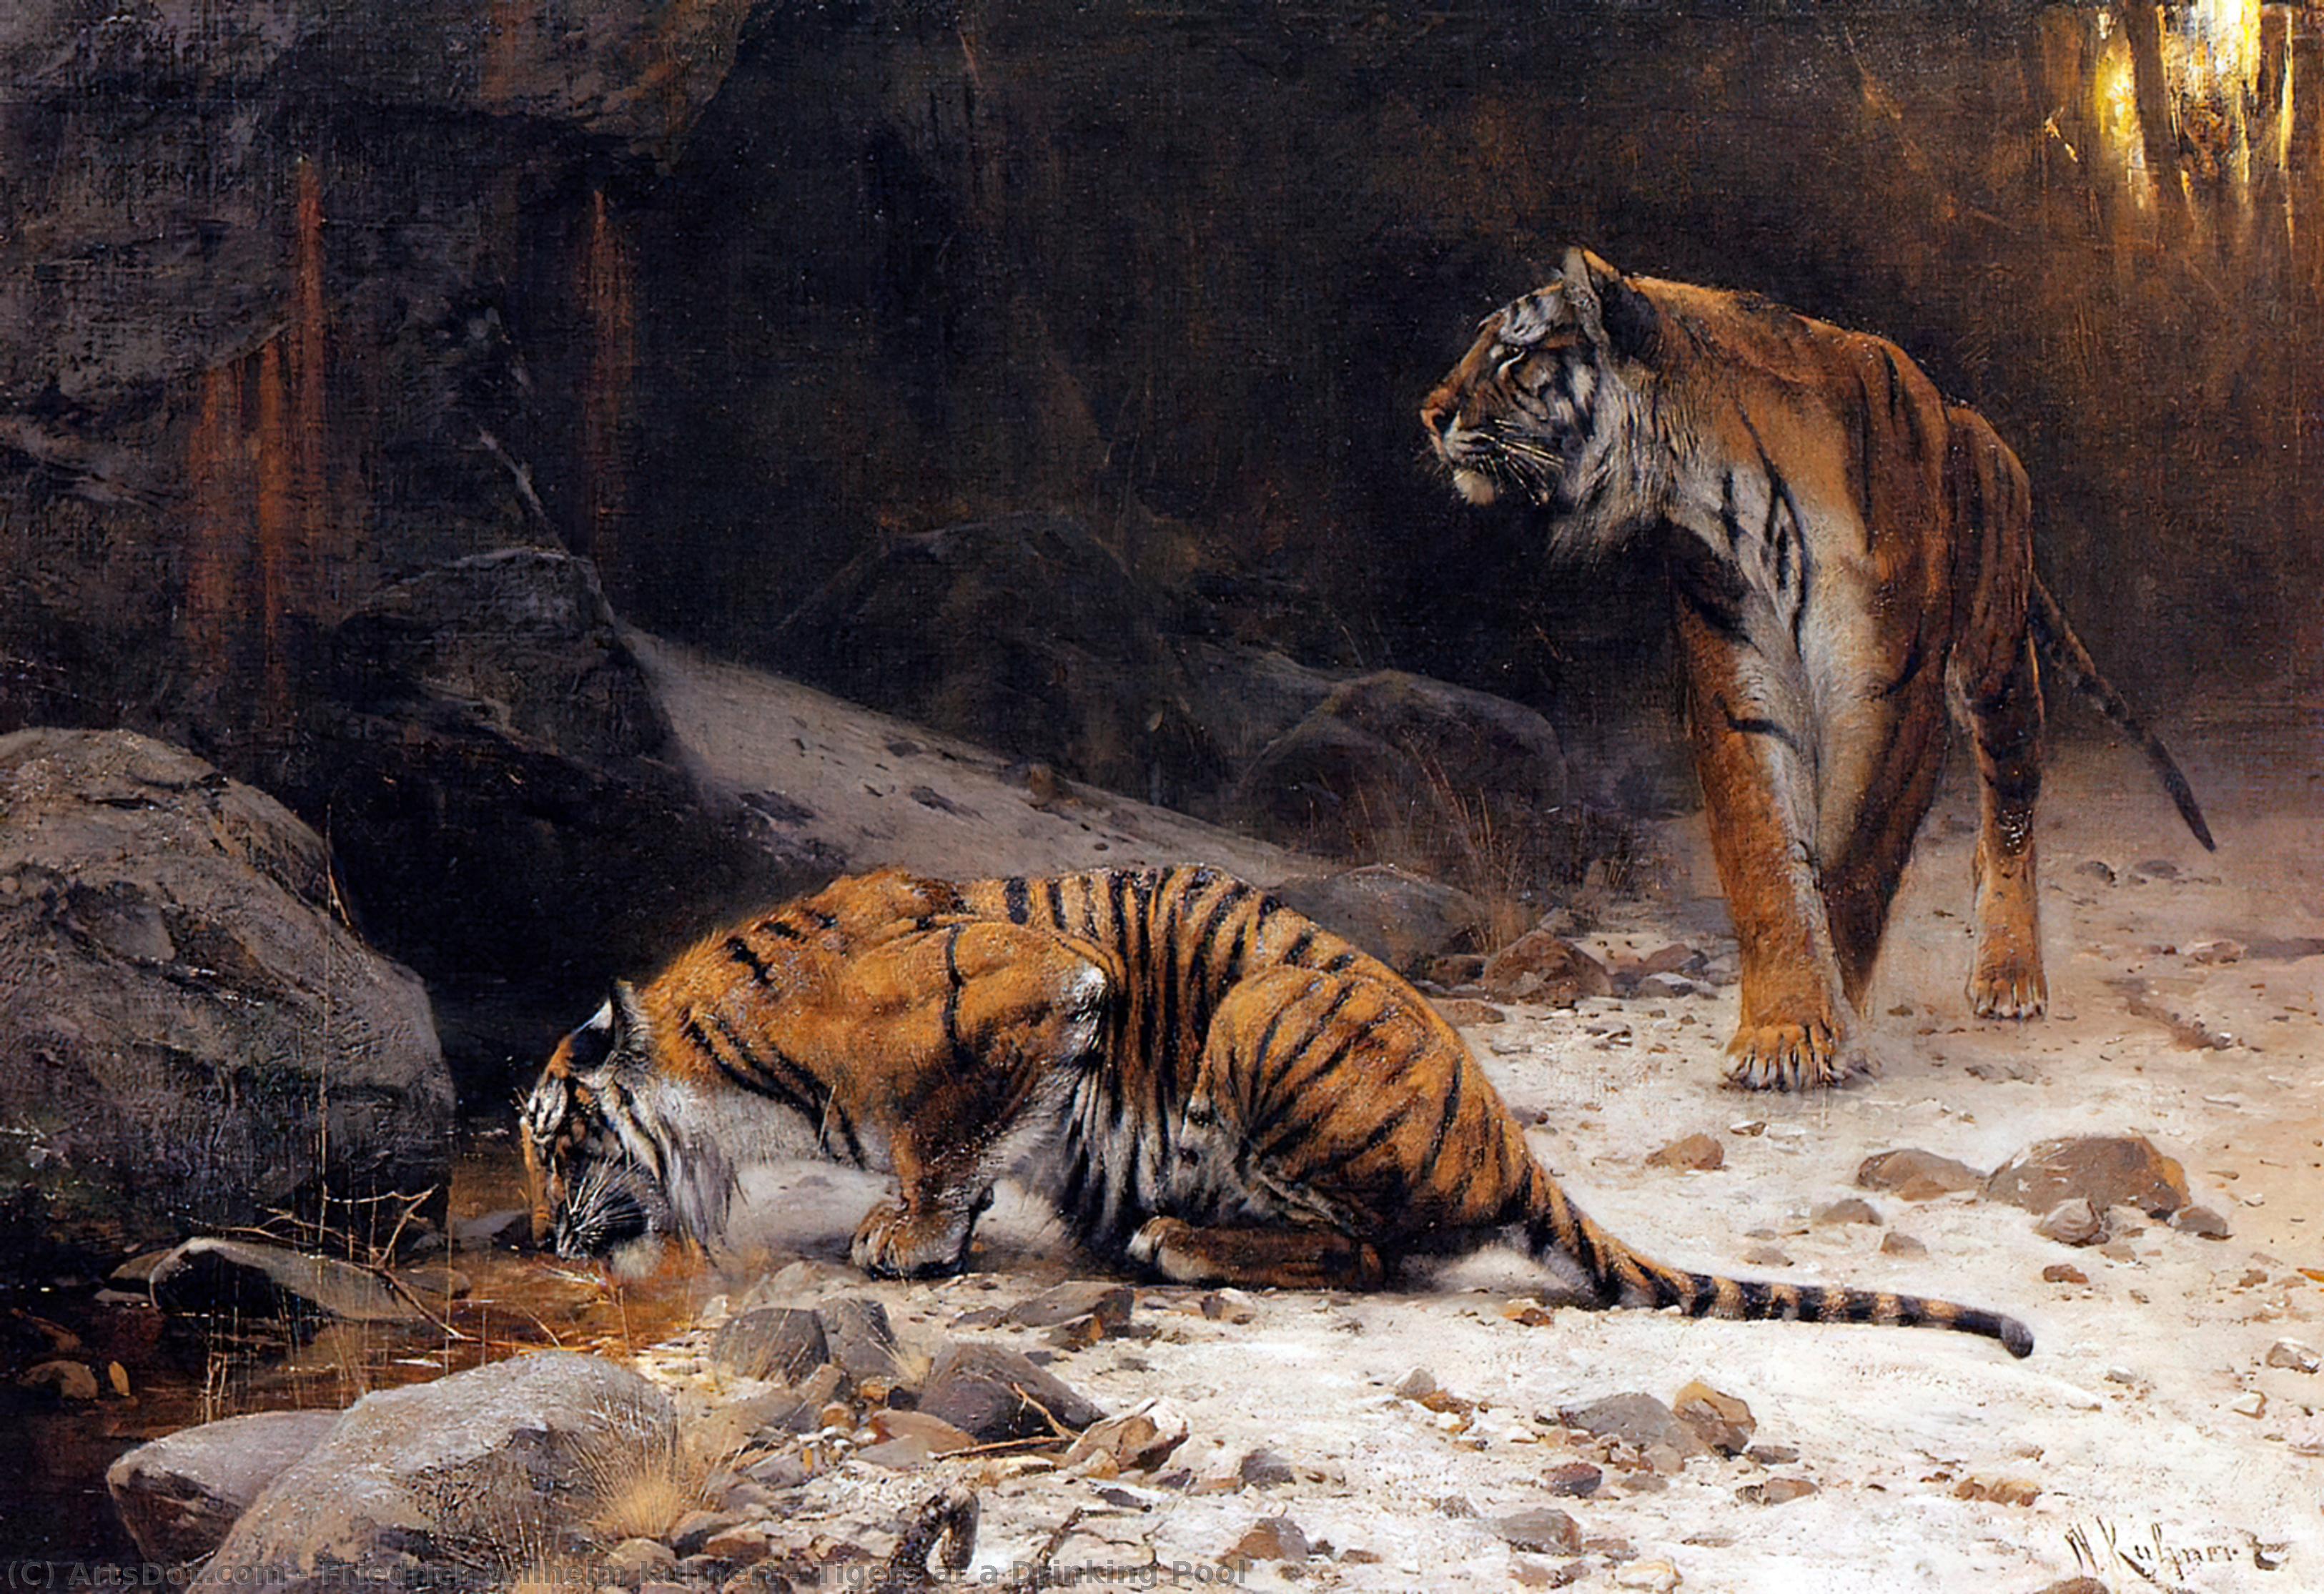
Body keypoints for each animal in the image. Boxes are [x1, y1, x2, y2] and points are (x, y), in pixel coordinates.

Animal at [522, 865, 2033, 1357]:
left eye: (552, 1145)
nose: (538, 1241)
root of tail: (1511, 1144)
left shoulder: (1042, 993)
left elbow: (946, 1137)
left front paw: (908, 1236)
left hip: (1262, 1019)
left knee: (1364, 1252)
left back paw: (1175, 1240)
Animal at [1421, 248, 2213, 1090]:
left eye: (1513, 355)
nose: (1429, 415)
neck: (1724, 494)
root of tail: (1975, 424)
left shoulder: (1889, 696)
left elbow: (1857, 860)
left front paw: (1830, 1024)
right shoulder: (1738, 692)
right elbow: (1766, 860)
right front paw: (1780, 1027)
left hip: (1997, 670)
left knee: (2009, 817)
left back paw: (2008, 975)